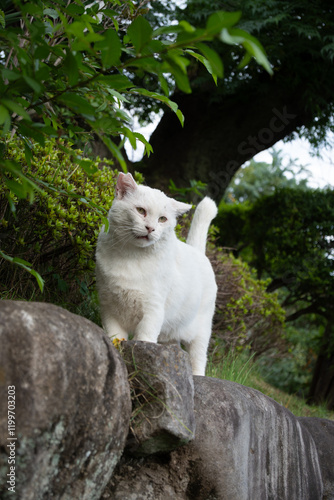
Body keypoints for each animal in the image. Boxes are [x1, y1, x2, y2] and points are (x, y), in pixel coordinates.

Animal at [95, 173, 218, 376]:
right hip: (171, 332)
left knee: (199, 357)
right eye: (140, 211)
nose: (150, 228)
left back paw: (197, 375)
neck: (131, 257)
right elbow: (115, 336)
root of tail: (197, 252)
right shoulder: (109, 308)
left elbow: (144, 337)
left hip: (202, 331)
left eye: (162, 219)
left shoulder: (153, 309)